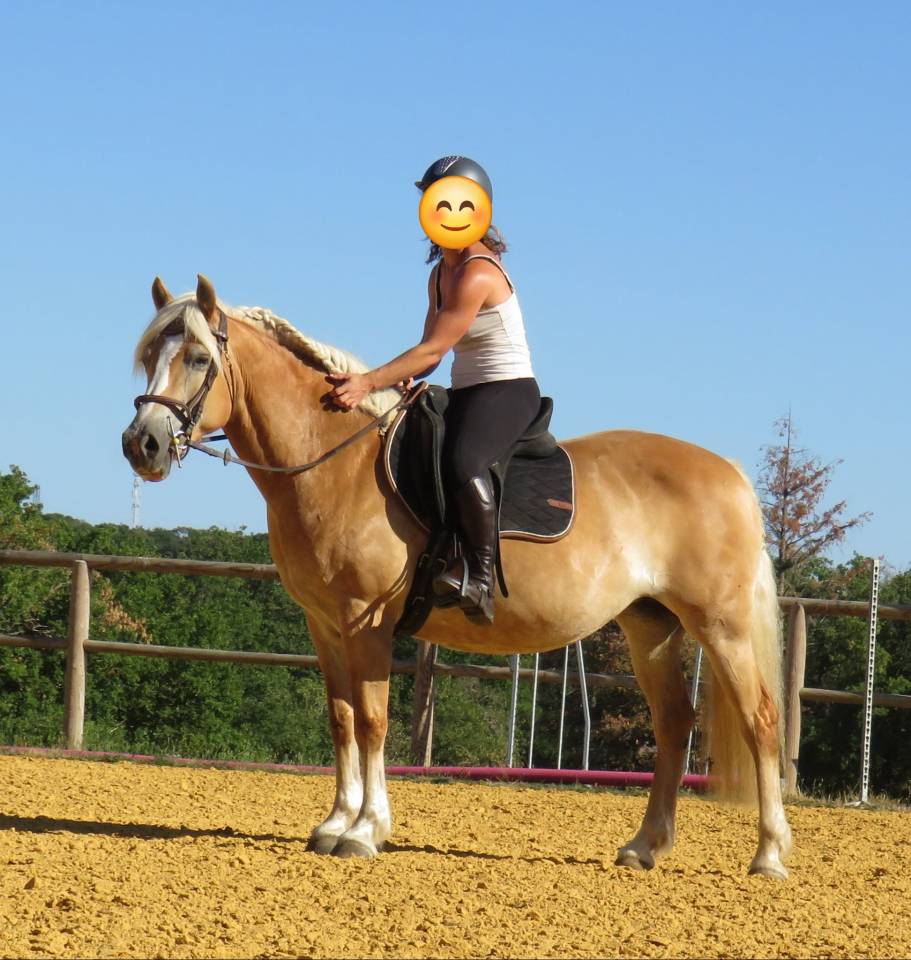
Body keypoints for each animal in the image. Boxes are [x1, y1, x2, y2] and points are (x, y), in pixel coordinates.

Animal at [121, 274, 792, 878]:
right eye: (149, 356)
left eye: (199, 358)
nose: (141, 444)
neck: (335, 460)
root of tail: (728, 471)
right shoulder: (323, 624)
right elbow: (341, 719)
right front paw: (334, 823)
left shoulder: (365, 621)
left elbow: (373, 721)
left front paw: (365, 831)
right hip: (649, 625)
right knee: (674, 723)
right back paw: (644, 847)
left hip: (723, 626)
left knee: (761, 721)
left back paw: (768, 854)